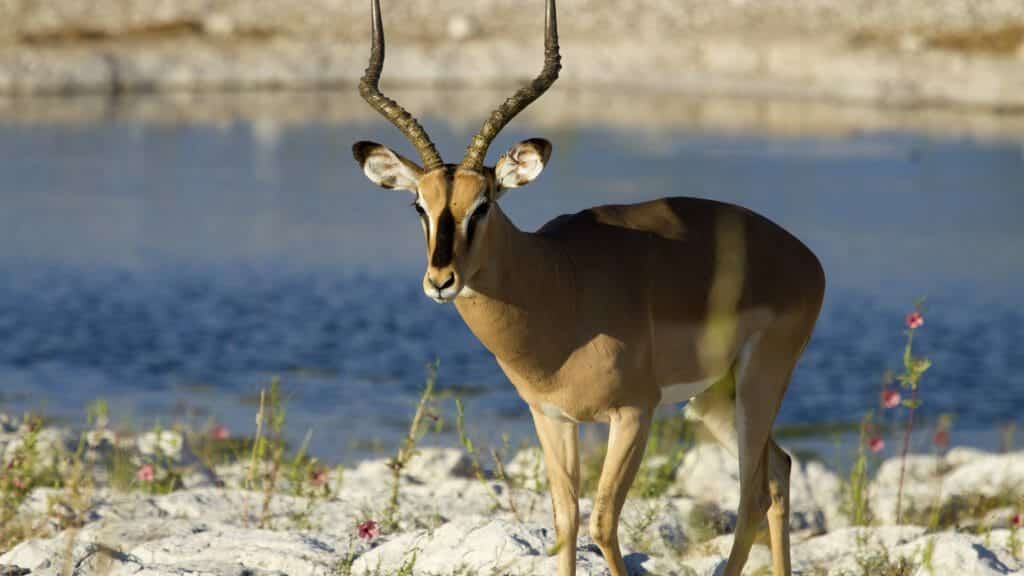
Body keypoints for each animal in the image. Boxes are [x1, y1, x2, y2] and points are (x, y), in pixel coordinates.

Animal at [350, 1, 824, 574]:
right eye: (420, 204)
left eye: (483, 203)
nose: (441, 281)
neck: (558, 282)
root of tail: (804, 258)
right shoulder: (552, 417)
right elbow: (565, 523)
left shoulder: (634, 414)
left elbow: (601, 523)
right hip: (715, 395)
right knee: (779, 471)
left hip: (758, 383)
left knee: (753, 492)